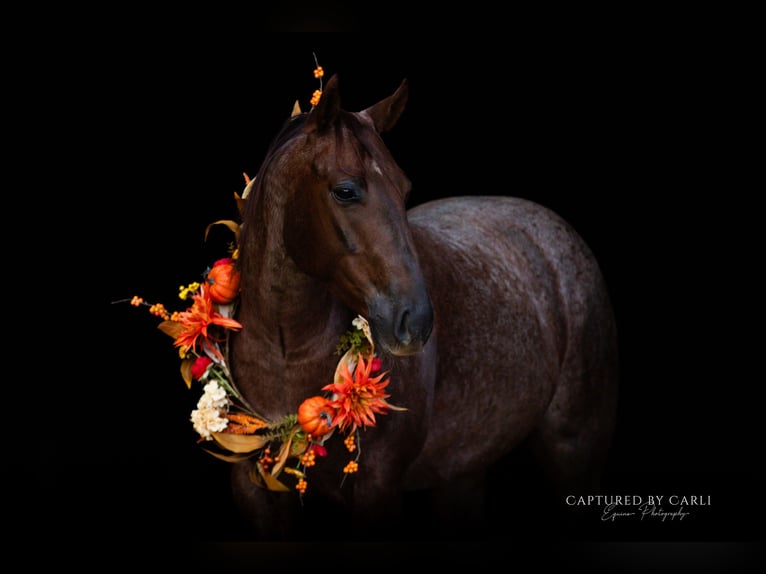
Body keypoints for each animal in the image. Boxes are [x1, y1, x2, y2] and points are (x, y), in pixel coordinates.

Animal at [227, 74, 619, 541]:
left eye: (405, 189)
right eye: (345, 190)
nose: (416, 321)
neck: (286, 351)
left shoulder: (378, 487)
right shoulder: (256, 491)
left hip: (574, 447)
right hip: (463, 470)